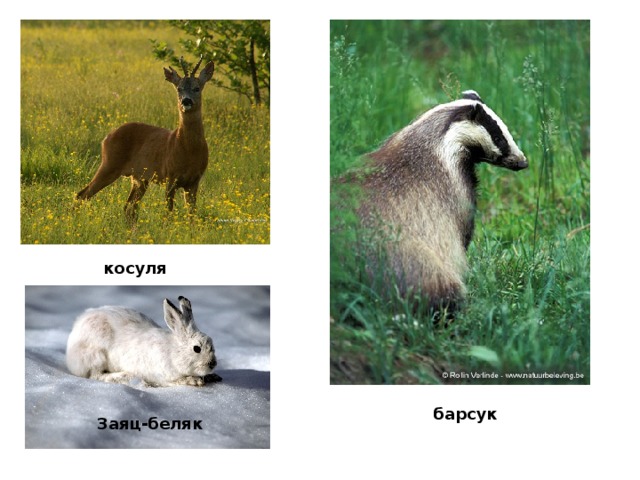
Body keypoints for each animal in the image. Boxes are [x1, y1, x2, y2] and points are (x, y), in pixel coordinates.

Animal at [66, 296, 217, 387]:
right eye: (196, 348)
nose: (213, 364)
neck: (173, 352)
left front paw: (212, 377)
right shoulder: (164, 376)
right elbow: (176, 381)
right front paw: (194, 380)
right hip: (96, 355)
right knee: (95, 375)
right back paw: (124, 376)